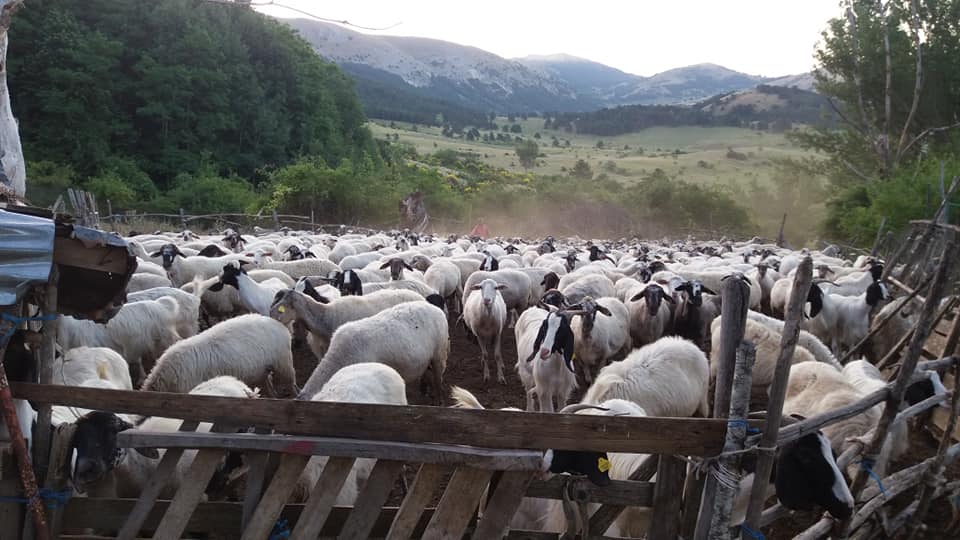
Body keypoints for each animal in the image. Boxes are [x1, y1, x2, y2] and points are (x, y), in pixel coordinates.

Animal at [296, 302, 448, 403]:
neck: (338, 357)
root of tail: (435, 308)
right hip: (427, 358)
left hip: (439, 355)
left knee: (438, 380)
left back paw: (439, 401)